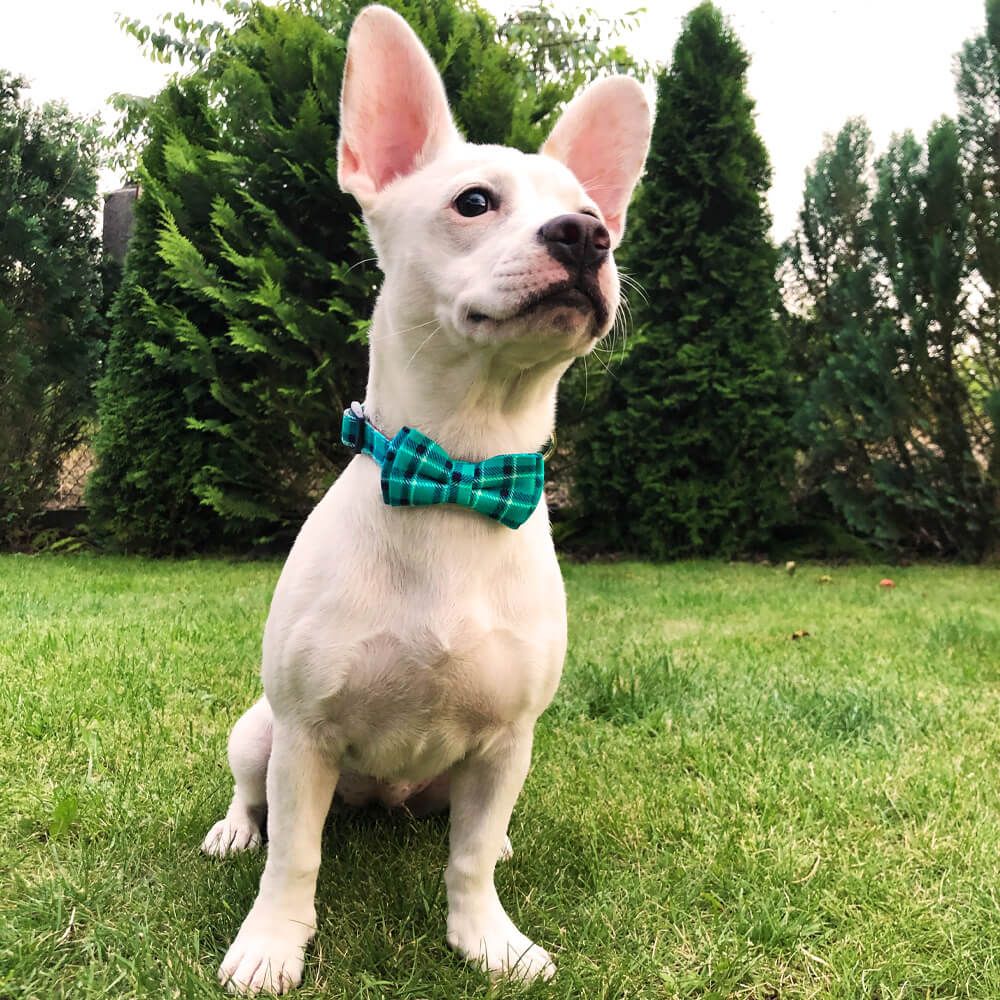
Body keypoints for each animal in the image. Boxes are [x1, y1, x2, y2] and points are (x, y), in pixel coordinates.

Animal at [200, 5, 650, 994]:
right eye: (473, 203)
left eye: (594, 212)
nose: (585, 236)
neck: (459, 467)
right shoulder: (306, 736)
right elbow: (295, 855)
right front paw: (271, 943)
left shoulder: (508, 740)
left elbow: (470, 856)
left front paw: (487, 937)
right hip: (259, 731)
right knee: (255, 799)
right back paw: (232, 831)